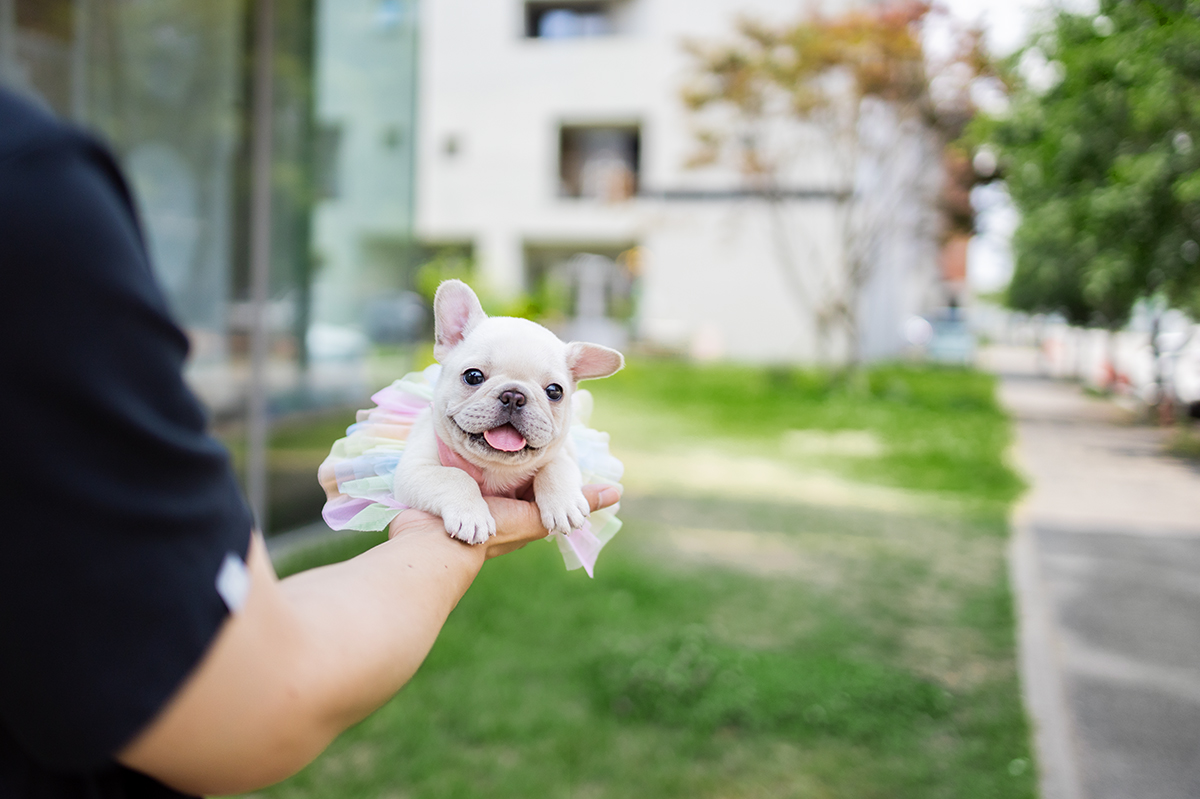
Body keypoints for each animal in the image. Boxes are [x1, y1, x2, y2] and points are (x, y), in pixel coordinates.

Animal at [393, 277, 624, 544]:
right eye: (473, 376)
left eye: (555, 391)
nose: (514, 395)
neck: (497, 467)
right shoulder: (414, 470)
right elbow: (454, 477)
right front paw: (471, 516)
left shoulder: (563, 453)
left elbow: (557, 466)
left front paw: (564, 504)